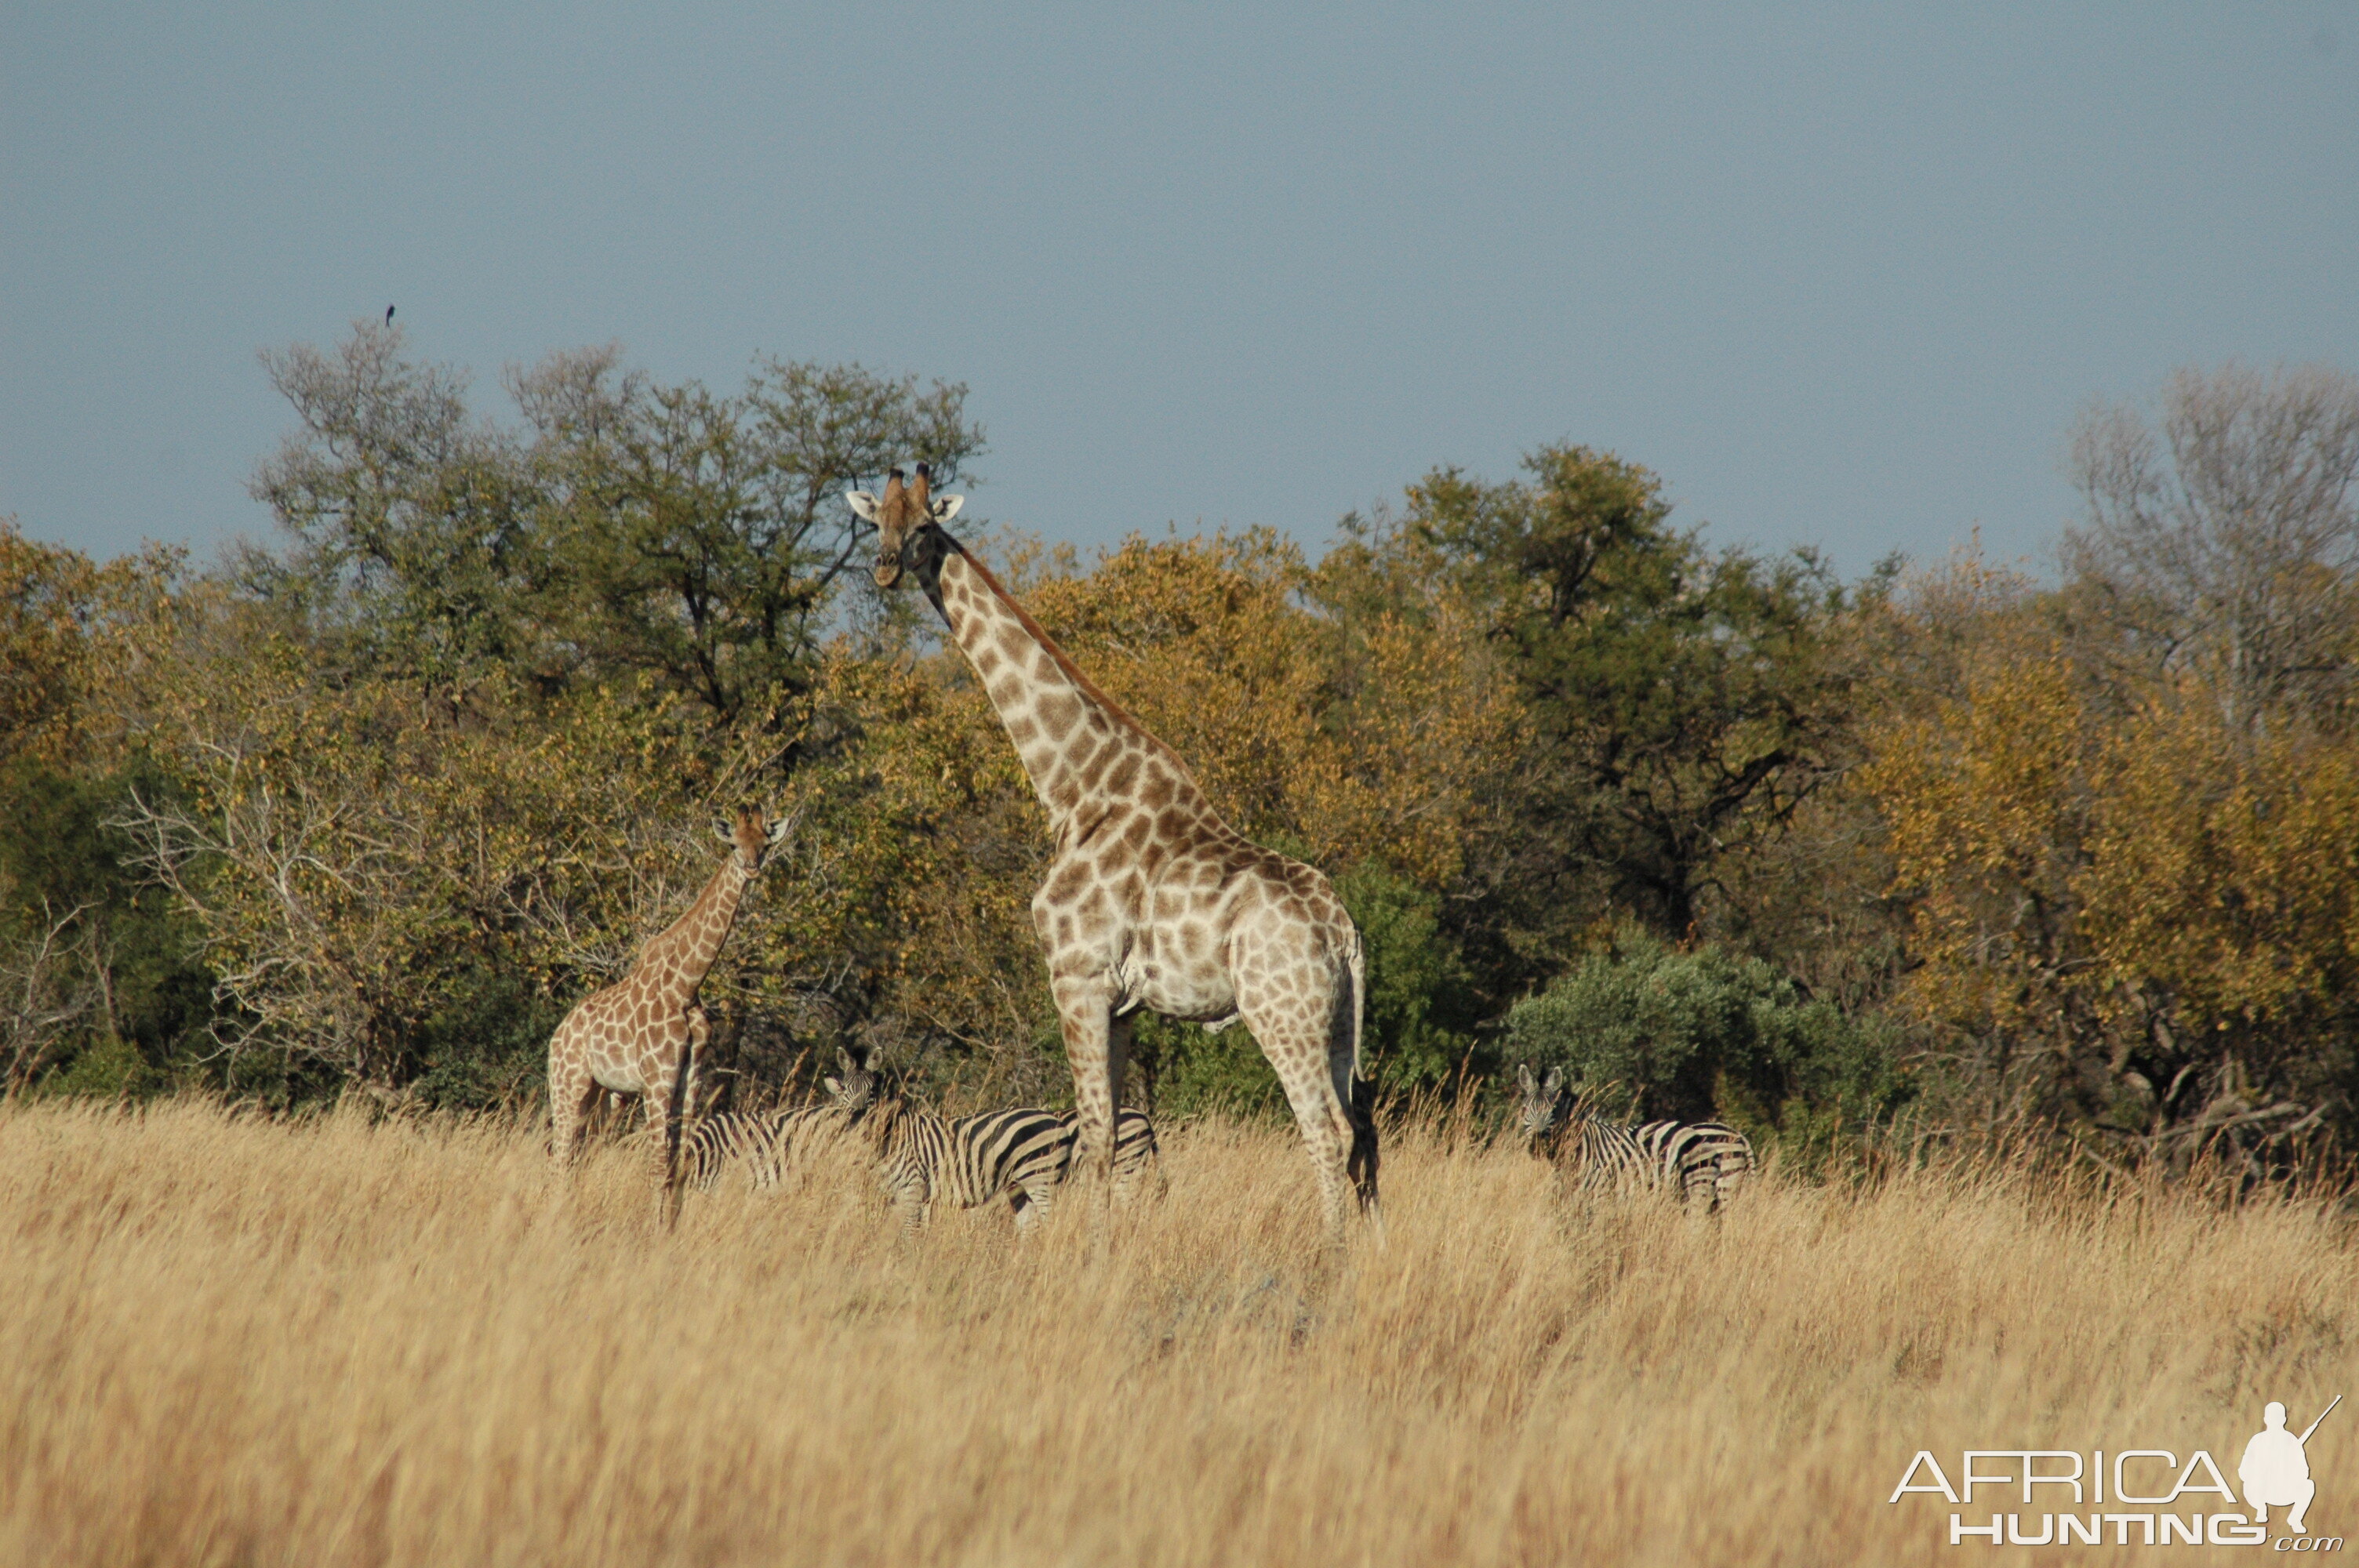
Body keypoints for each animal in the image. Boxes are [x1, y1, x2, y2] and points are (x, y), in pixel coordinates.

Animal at [544, 806, 792, 1225]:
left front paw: (670, 1232)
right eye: (733, 843)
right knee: (561, 1157)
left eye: (765, 844)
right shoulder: (658, 1080)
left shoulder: (690, 1080)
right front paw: (651, 1231)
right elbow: (658, 1166)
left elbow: (680, 1167)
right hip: (568, 1086)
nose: (751, 868)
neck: (686, 985)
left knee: (580, 1157)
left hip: (604, 1097)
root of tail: (556, 1036)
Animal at [849, 464, 1377, 1235]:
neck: (1074, 787)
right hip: (1338, 1019)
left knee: (1327, 1129)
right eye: (875, 522)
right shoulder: (1124, 1005)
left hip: (1281, 1013)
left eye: (923, 525)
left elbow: (1094, 1135)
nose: (886, 567)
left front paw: (1080, 1251)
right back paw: (1373, 1247)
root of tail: (1343, 932)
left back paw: (1331, 1250)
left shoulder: (1076, 976)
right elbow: (1113, 1130)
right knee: (1365, 1124)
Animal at [1510, 1065, 1754, 1207]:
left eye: (1553, 1111)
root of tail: (1738, 1135)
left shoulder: (1601, 1195)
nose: (1537, 1146)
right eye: (1524, 1109)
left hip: (1720, 1189)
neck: (1580, 1147)